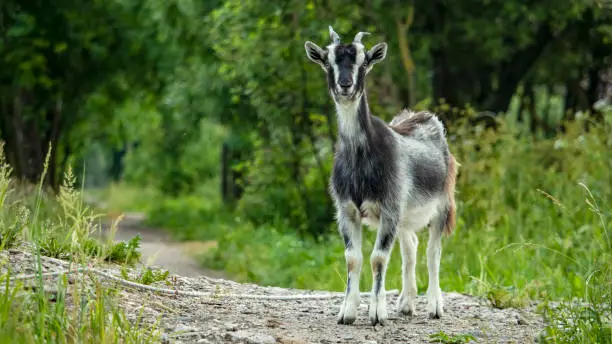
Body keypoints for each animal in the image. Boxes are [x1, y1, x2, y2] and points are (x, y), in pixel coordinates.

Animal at [304, 26, 456, 326]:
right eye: (328, 61)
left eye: (364, 63)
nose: (346, 85)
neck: (363, 158)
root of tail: (426, 118)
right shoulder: (347, 210)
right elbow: (353, 258)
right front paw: (347, 312)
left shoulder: (389, 207)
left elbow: (378, 258)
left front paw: (377, 313)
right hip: (406, 216)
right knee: (410, 247)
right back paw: (407, 303)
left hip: (441, 205)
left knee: (433, 253)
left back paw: (434, 305)